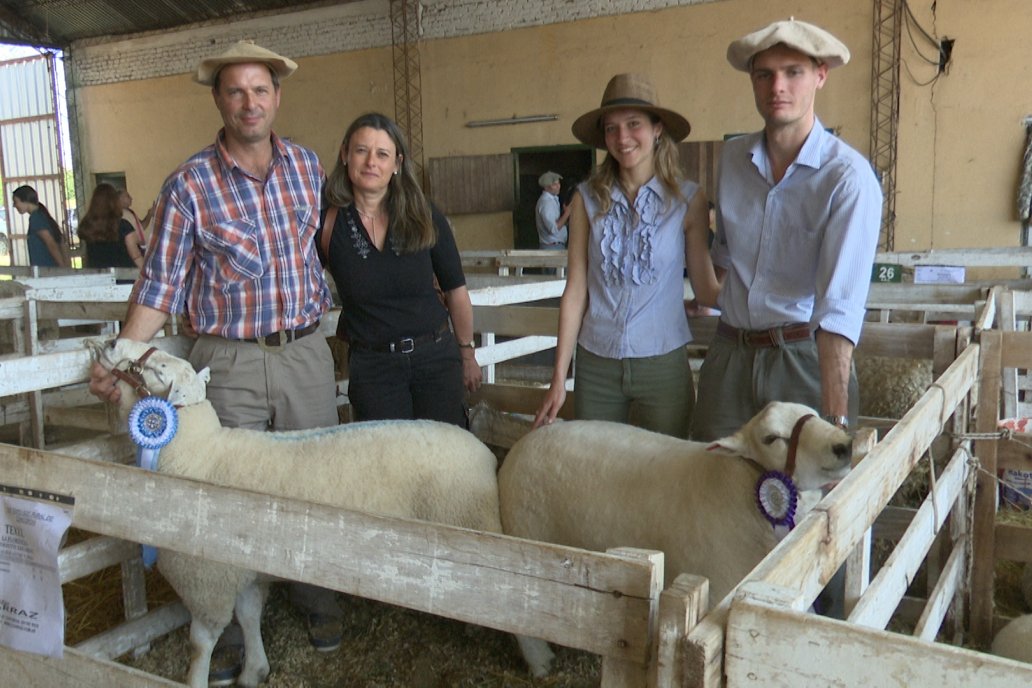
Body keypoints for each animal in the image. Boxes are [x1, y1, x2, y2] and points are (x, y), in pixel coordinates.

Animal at [97, 338, 503, 688]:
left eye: (157, 369)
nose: (112, 342)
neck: (199, 452)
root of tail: (482, 452)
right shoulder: (240, 567)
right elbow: (248, 616)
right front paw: (255, 670)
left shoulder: (207, 578)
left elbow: (201, 644)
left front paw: (197, 680)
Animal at [495, 404, 850, 676]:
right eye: (772, 438)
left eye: (816, 413)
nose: (843, 446)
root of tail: (523, 442)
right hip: (526, 539)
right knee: (516, 606)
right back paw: (540, 663)